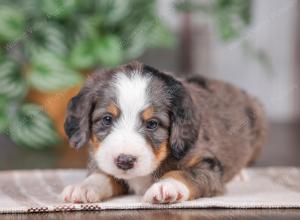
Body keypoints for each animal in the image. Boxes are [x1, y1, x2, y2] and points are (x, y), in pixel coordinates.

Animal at [61, 60, 268, 205]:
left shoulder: (209, 165)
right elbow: (102, 175)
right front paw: (83, 188)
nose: (125, 161)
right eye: (106, 119)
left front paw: (166, 186)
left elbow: (184, 174)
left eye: (152, 124)